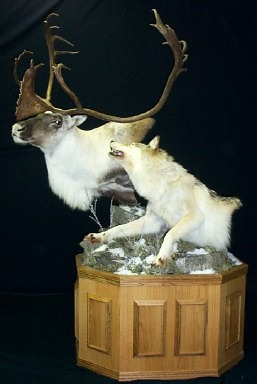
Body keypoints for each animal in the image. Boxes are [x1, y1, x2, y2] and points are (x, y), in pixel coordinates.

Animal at [87, 136, 241, 266]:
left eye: (133, 144)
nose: (111, 140)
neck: (162, 185)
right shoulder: (153, 221)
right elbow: (118, 228)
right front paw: (99, 236)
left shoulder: (194, 216)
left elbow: (170, 234)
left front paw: (161, 257)